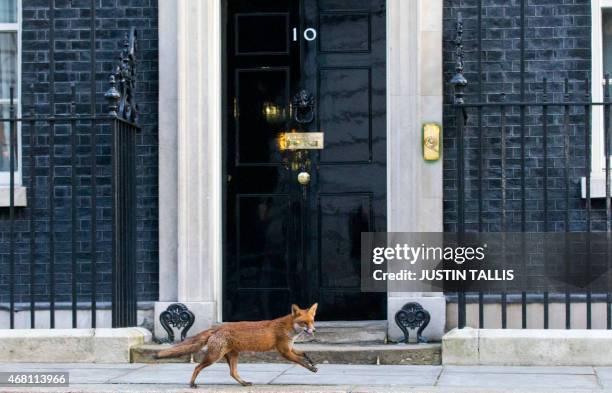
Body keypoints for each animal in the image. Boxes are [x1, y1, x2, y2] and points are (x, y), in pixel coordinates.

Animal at [158, 304, 318, 386]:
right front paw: (311, 368)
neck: (288, 328)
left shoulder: (289, 348)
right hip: (214, 357)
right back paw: (191, 384)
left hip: (233, 355)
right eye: (304, 323)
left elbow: (304, 354)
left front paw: (312, 362)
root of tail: (218, 328)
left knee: (232, 373)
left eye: (312, 321)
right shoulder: (284, 351)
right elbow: (300, 361)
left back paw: (244, 383)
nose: (314, 330)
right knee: (197, 367)